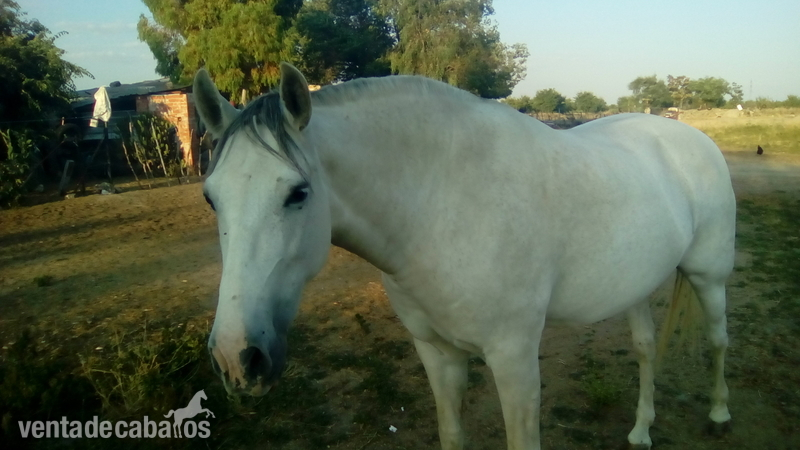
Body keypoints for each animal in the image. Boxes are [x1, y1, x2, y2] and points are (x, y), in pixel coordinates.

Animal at [194, 63, 734, 450]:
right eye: (211, 198)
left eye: (298, 193)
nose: (237, 358)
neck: (442, 204)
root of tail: (689, 135)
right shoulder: (438, 353)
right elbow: (452, 433)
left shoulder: (515, 358)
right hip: (634, 286)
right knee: (645, 349)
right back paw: (641, 431)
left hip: (709, 278)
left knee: (717, 341)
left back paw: (719, 414)